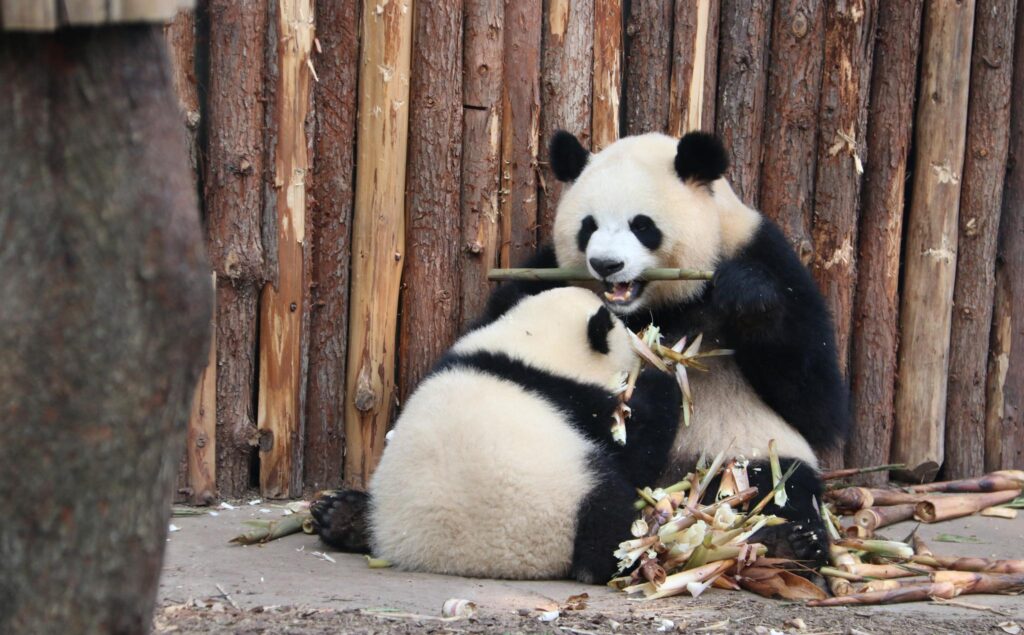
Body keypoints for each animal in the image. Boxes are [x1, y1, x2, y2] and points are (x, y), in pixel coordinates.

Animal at [312, 287, 682, 582]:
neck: (531, 344)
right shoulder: (578, 403)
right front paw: (664, 382)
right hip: (571, 495)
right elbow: (638, 444)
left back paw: (341, 516)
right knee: (608, 517)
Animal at [479, 131, 851, 565]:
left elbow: (818, 404)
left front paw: (746, 295)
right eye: (588, 227)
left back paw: (790, 540)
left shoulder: (765, 254)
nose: (606, 264)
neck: (655, 305)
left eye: (642, 225)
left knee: (782, 484)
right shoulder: (551, 269)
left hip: (740, 451)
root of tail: (669, 487)